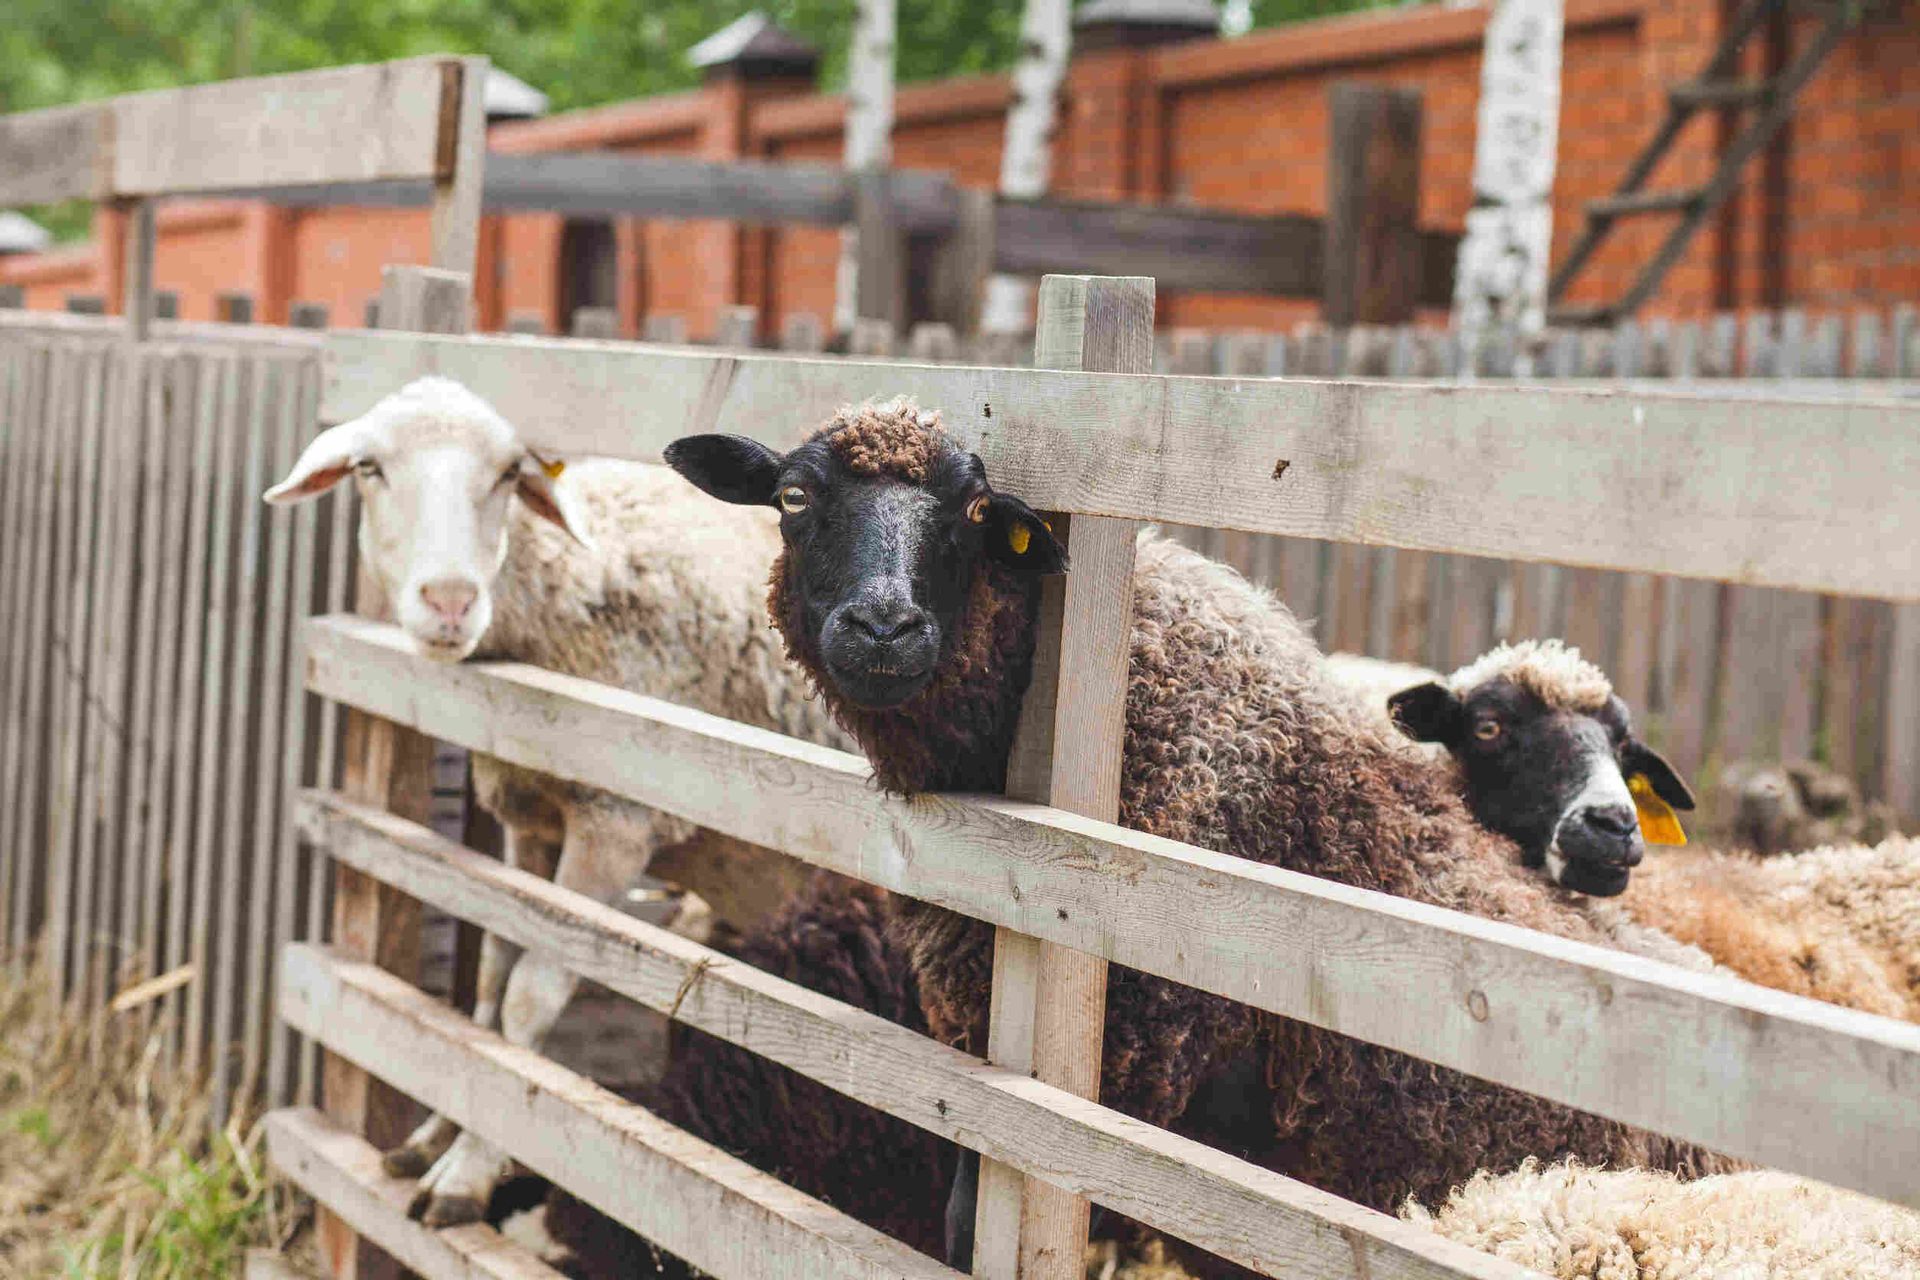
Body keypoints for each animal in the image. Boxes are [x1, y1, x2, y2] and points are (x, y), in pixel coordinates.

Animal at [261, 376, 848, 1228]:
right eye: (369, 468)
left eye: (509, 475)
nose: (449, 601)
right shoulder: (530, 824)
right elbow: (488, 985)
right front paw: (434, 1136)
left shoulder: (615, 826)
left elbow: (528, 1003)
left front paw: (466, 1176)